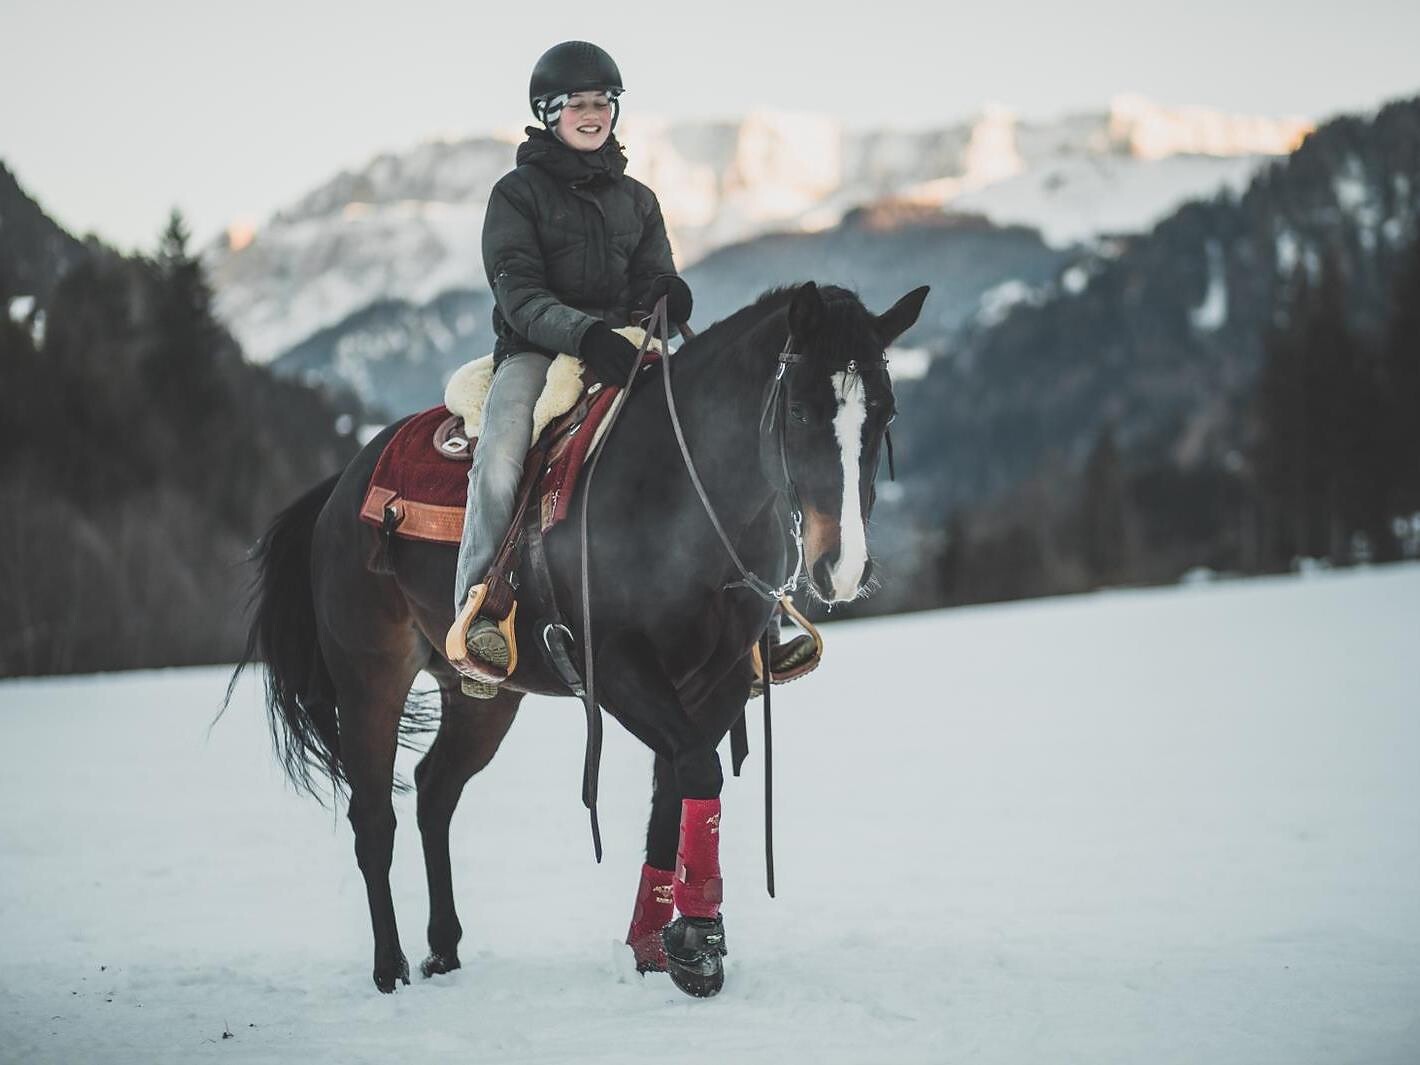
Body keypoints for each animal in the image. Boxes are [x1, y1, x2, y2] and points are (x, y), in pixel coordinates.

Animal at [228, 280, 929, 996]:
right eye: (800, 410)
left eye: (886, 413)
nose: (843, 567)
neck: (676, 494)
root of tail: (340, 488)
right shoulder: (616, 667)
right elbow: (697, 771)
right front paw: (698, 944)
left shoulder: (719, 679)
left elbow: (674, 795)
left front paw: (656, 946)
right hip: (370, 678)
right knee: (374, 817)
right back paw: (389, 969)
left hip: (482, 697)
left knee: (434, 792)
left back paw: (444, 950)